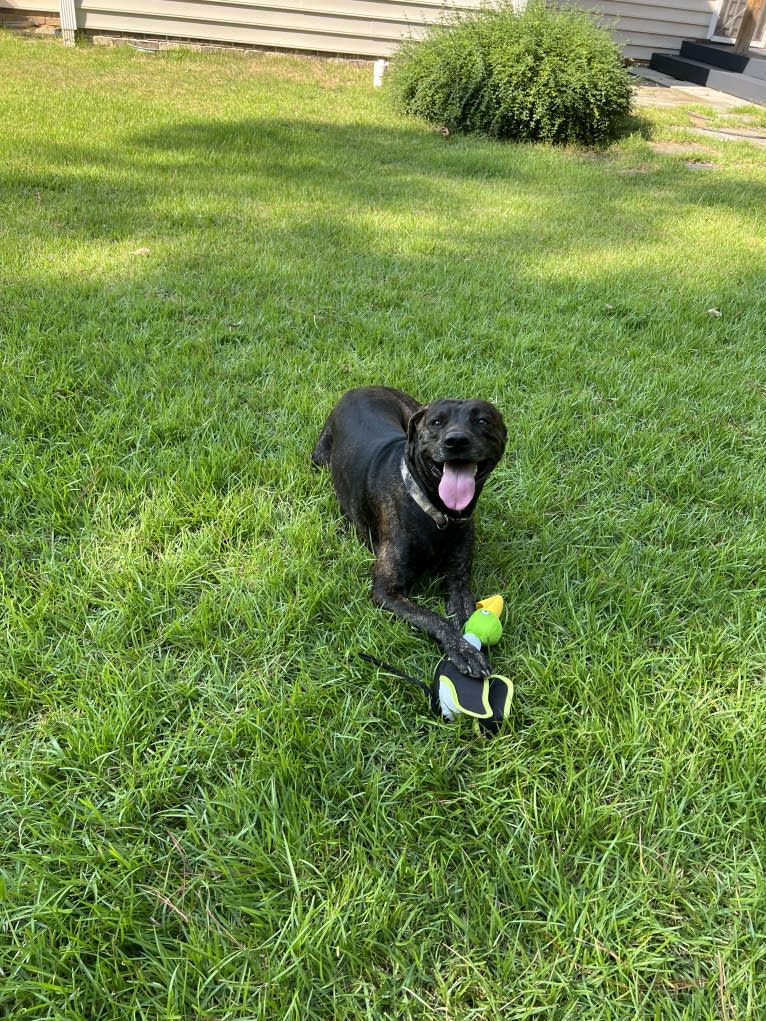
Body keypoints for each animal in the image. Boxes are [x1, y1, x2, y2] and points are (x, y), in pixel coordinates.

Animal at [312, 385, 510, 673]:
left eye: (482, 420)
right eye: (436, 422)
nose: (456, 441)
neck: (436, 512)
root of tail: (362, 388)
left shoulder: (458, 579)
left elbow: (465, 613)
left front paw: (470, 645)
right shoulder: (386, 590)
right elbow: (433, 618)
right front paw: (463, 650)